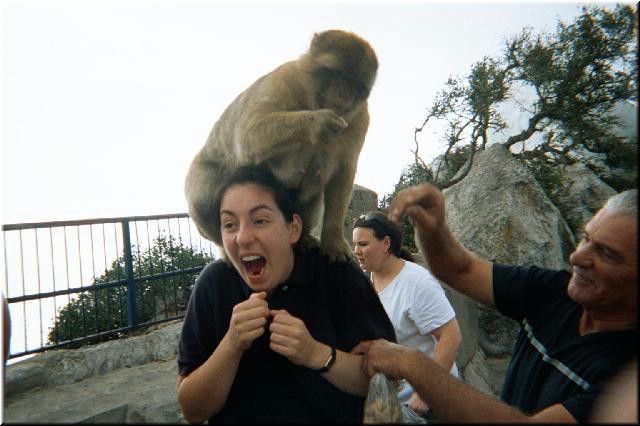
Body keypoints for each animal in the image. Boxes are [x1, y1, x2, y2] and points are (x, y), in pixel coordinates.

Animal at [182, 29, 378, 260]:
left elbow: (342, 174)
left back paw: (304, 238)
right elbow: (248, 137)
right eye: (337, 74)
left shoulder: (360, 120)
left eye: (355, 84)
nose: (344, 93)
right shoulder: (284, 80)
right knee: (203, 199)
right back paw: (227, 252)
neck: (312, 100)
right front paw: (318, 122)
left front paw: (333, 241)